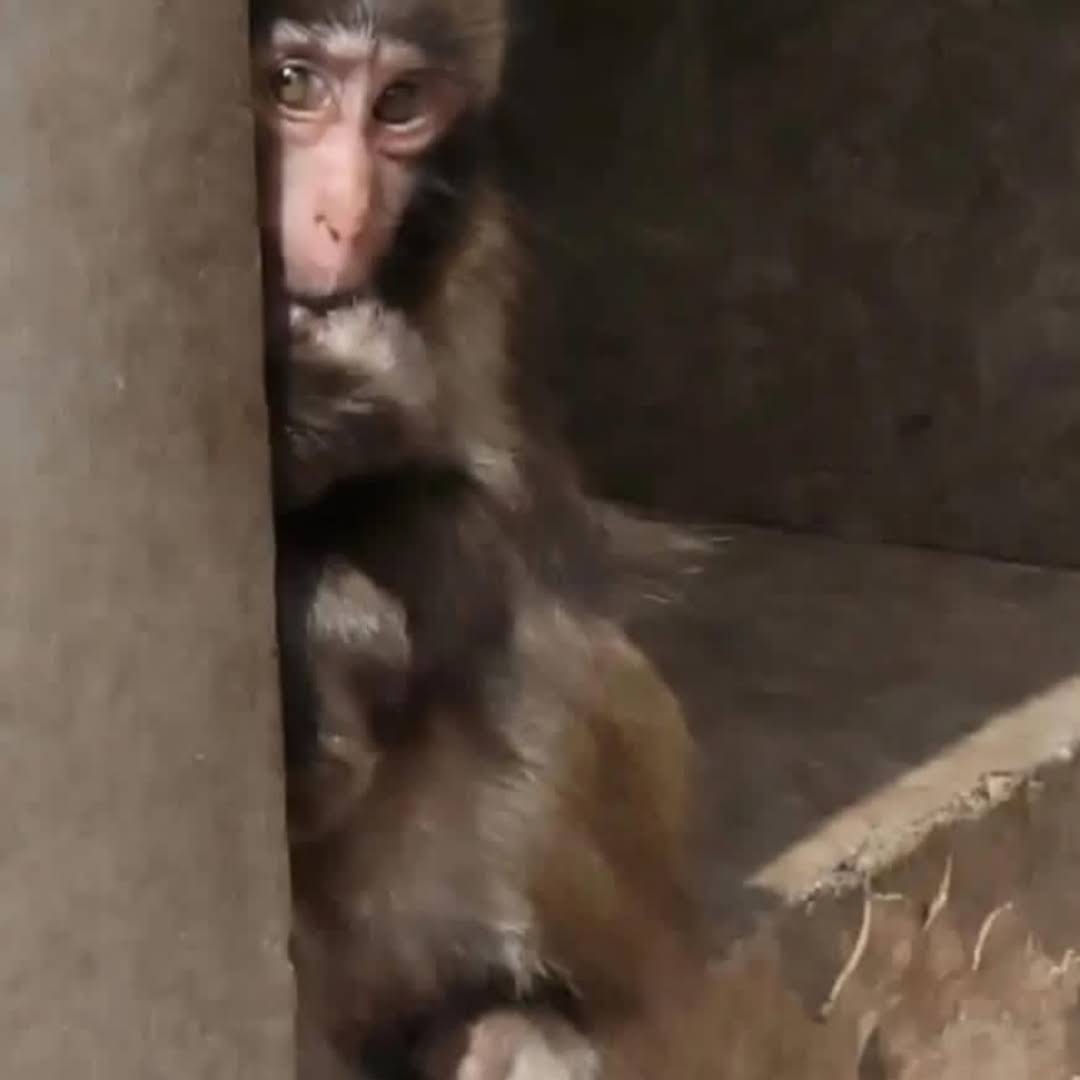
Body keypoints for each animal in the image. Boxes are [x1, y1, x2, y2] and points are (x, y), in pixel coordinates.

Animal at [249, 2, 709, 1077]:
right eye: (292, 84)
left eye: (401, 105)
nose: (345, 219)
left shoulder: (468, 252)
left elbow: (507, 533)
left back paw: (497, 1018)